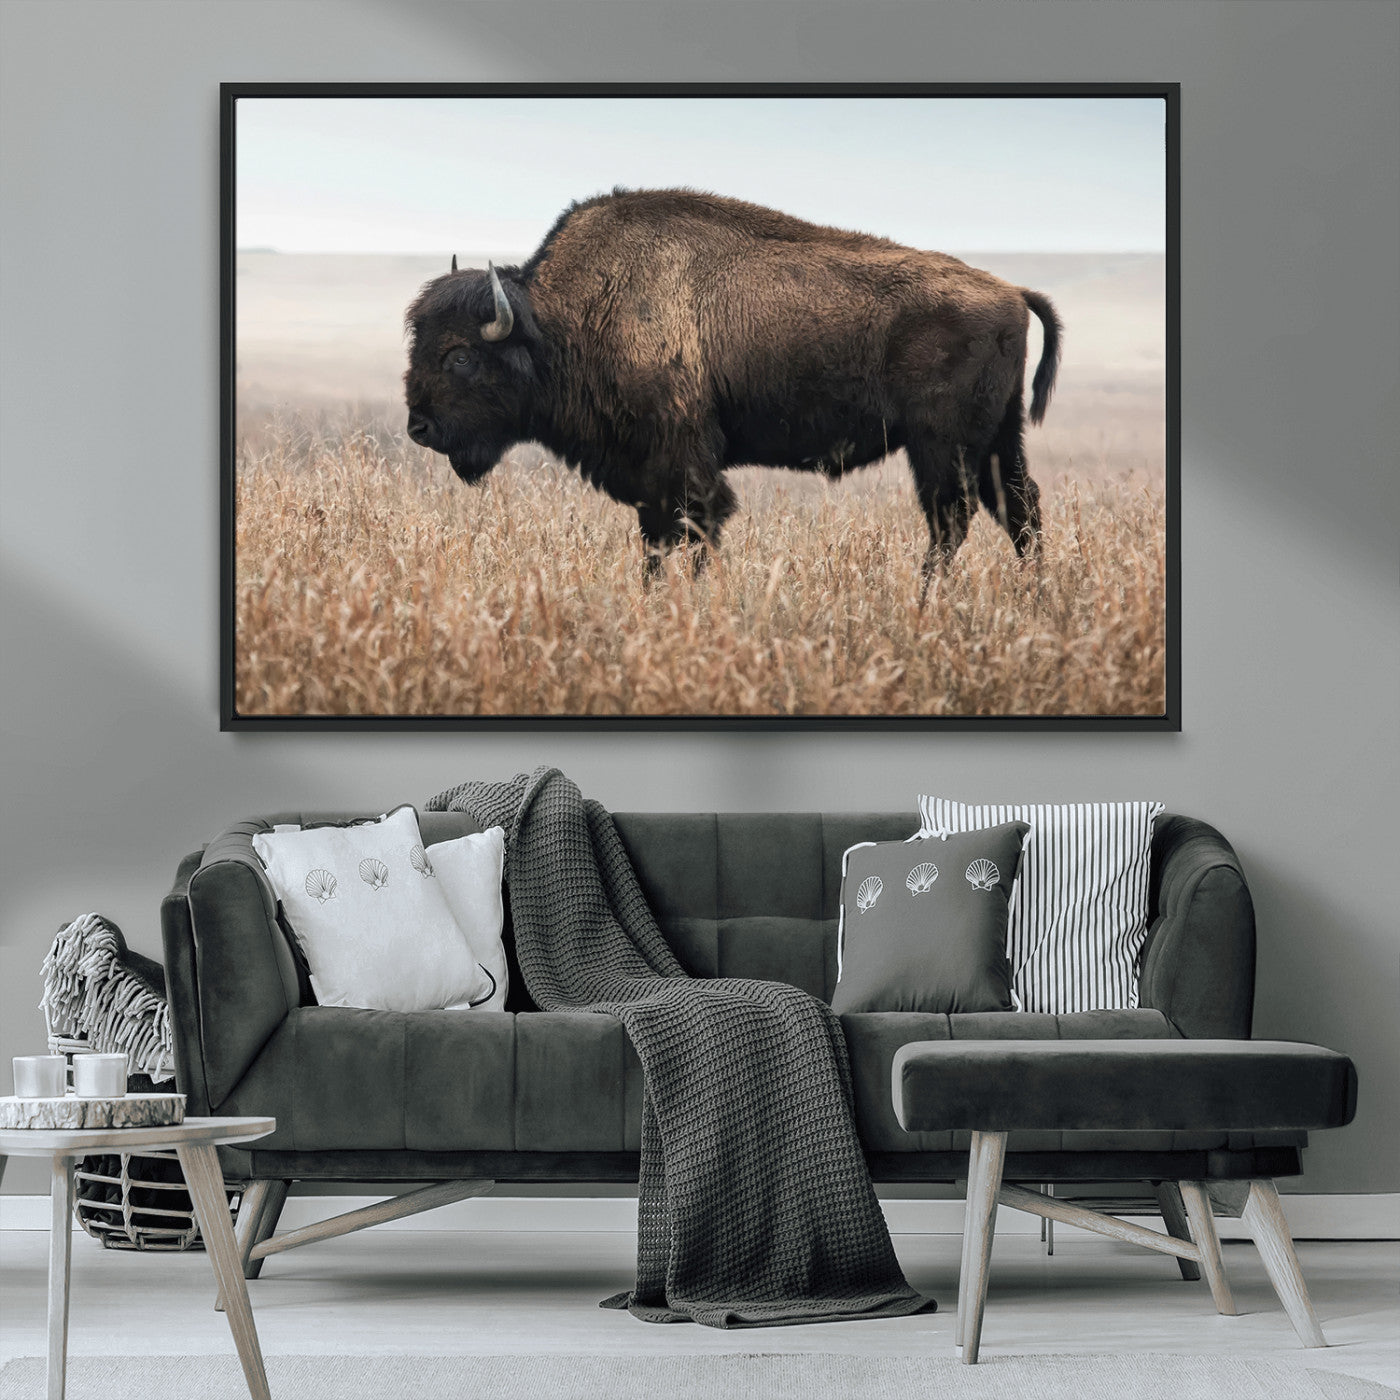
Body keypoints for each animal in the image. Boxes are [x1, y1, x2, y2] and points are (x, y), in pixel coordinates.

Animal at [404, 188, 1060, 583]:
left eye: (460, 356)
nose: (418, 427)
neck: (562, 320)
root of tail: (1010, 291)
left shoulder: (684, 465)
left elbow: (694, 529)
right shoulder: (650, 479)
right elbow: (657, 542)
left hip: (941, 446)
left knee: (952, 519)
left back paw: (927, 600)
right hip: (998, 440)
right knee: (1019, 510)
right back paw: (1033, 598)